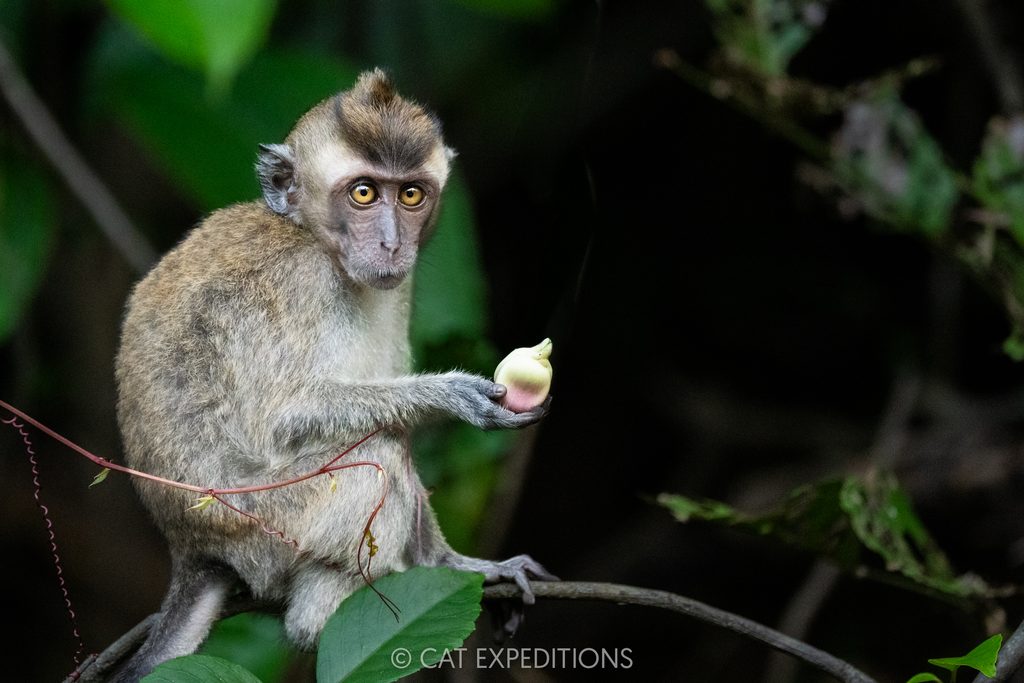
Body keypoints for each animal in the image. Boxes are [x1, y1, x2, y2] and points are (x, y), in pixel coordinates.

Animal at [109, 68, 554, 681]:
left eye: (410, 193)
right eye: (363, 193)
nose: (392, 243)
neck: (313, 237)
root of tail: (190, 547)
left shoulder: (399, 288)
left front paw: (455, 565)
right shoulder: (299, 279)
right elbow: (282, 419)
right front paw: (454, 397)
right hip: (266, 528)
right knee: (377, 458)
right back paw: (321, 620)